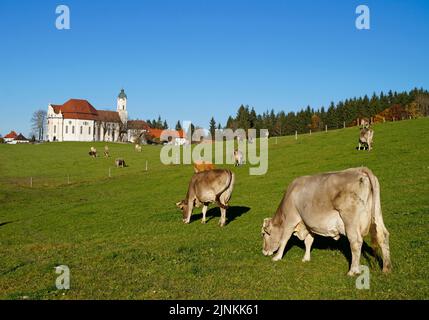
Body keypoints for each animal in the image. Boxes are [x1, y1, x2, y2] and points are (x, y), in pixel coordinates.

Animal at [260, 168, 392, 276]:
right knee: (383, 235)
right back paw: (386, 268)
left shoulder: (291, 220)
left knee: (355, 242)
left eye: (263, 234)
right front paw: (306, 258)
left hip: (350, 220)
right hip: (377, 213)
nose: (264, 252)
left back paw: (353, 271)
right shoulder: (308, 224)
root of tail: (360, 170)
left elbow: (284, 239)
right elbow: (309, 241)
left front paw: (277, 257)